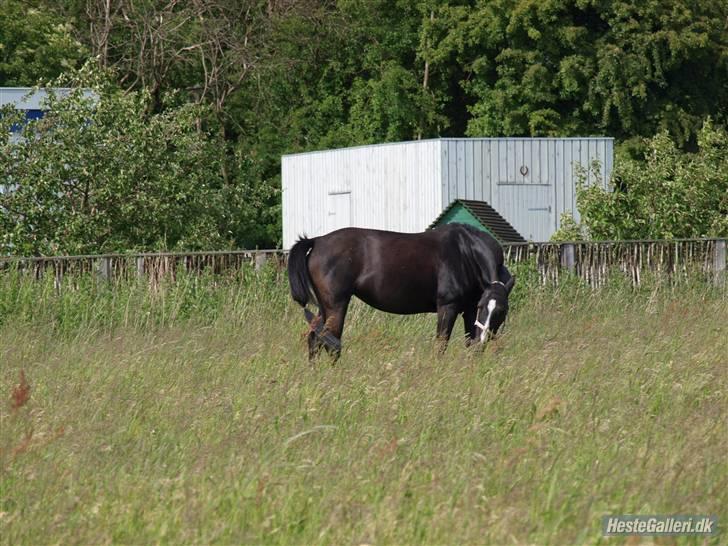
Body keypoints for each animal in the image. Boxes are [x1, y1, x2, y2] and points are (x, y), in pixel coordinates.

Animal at [288, 221, 516, 356]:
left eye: (501, 311)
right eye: (483, 307)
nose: (485, 340)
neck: (465, 251)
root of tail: (317, 241)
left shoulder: (468, 310)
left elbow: (470, 345)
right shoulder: (448, 308)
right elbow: (441, 345)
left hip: (325, 307)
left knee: (315, 339)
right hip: (336, 306)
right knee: (330, 342)